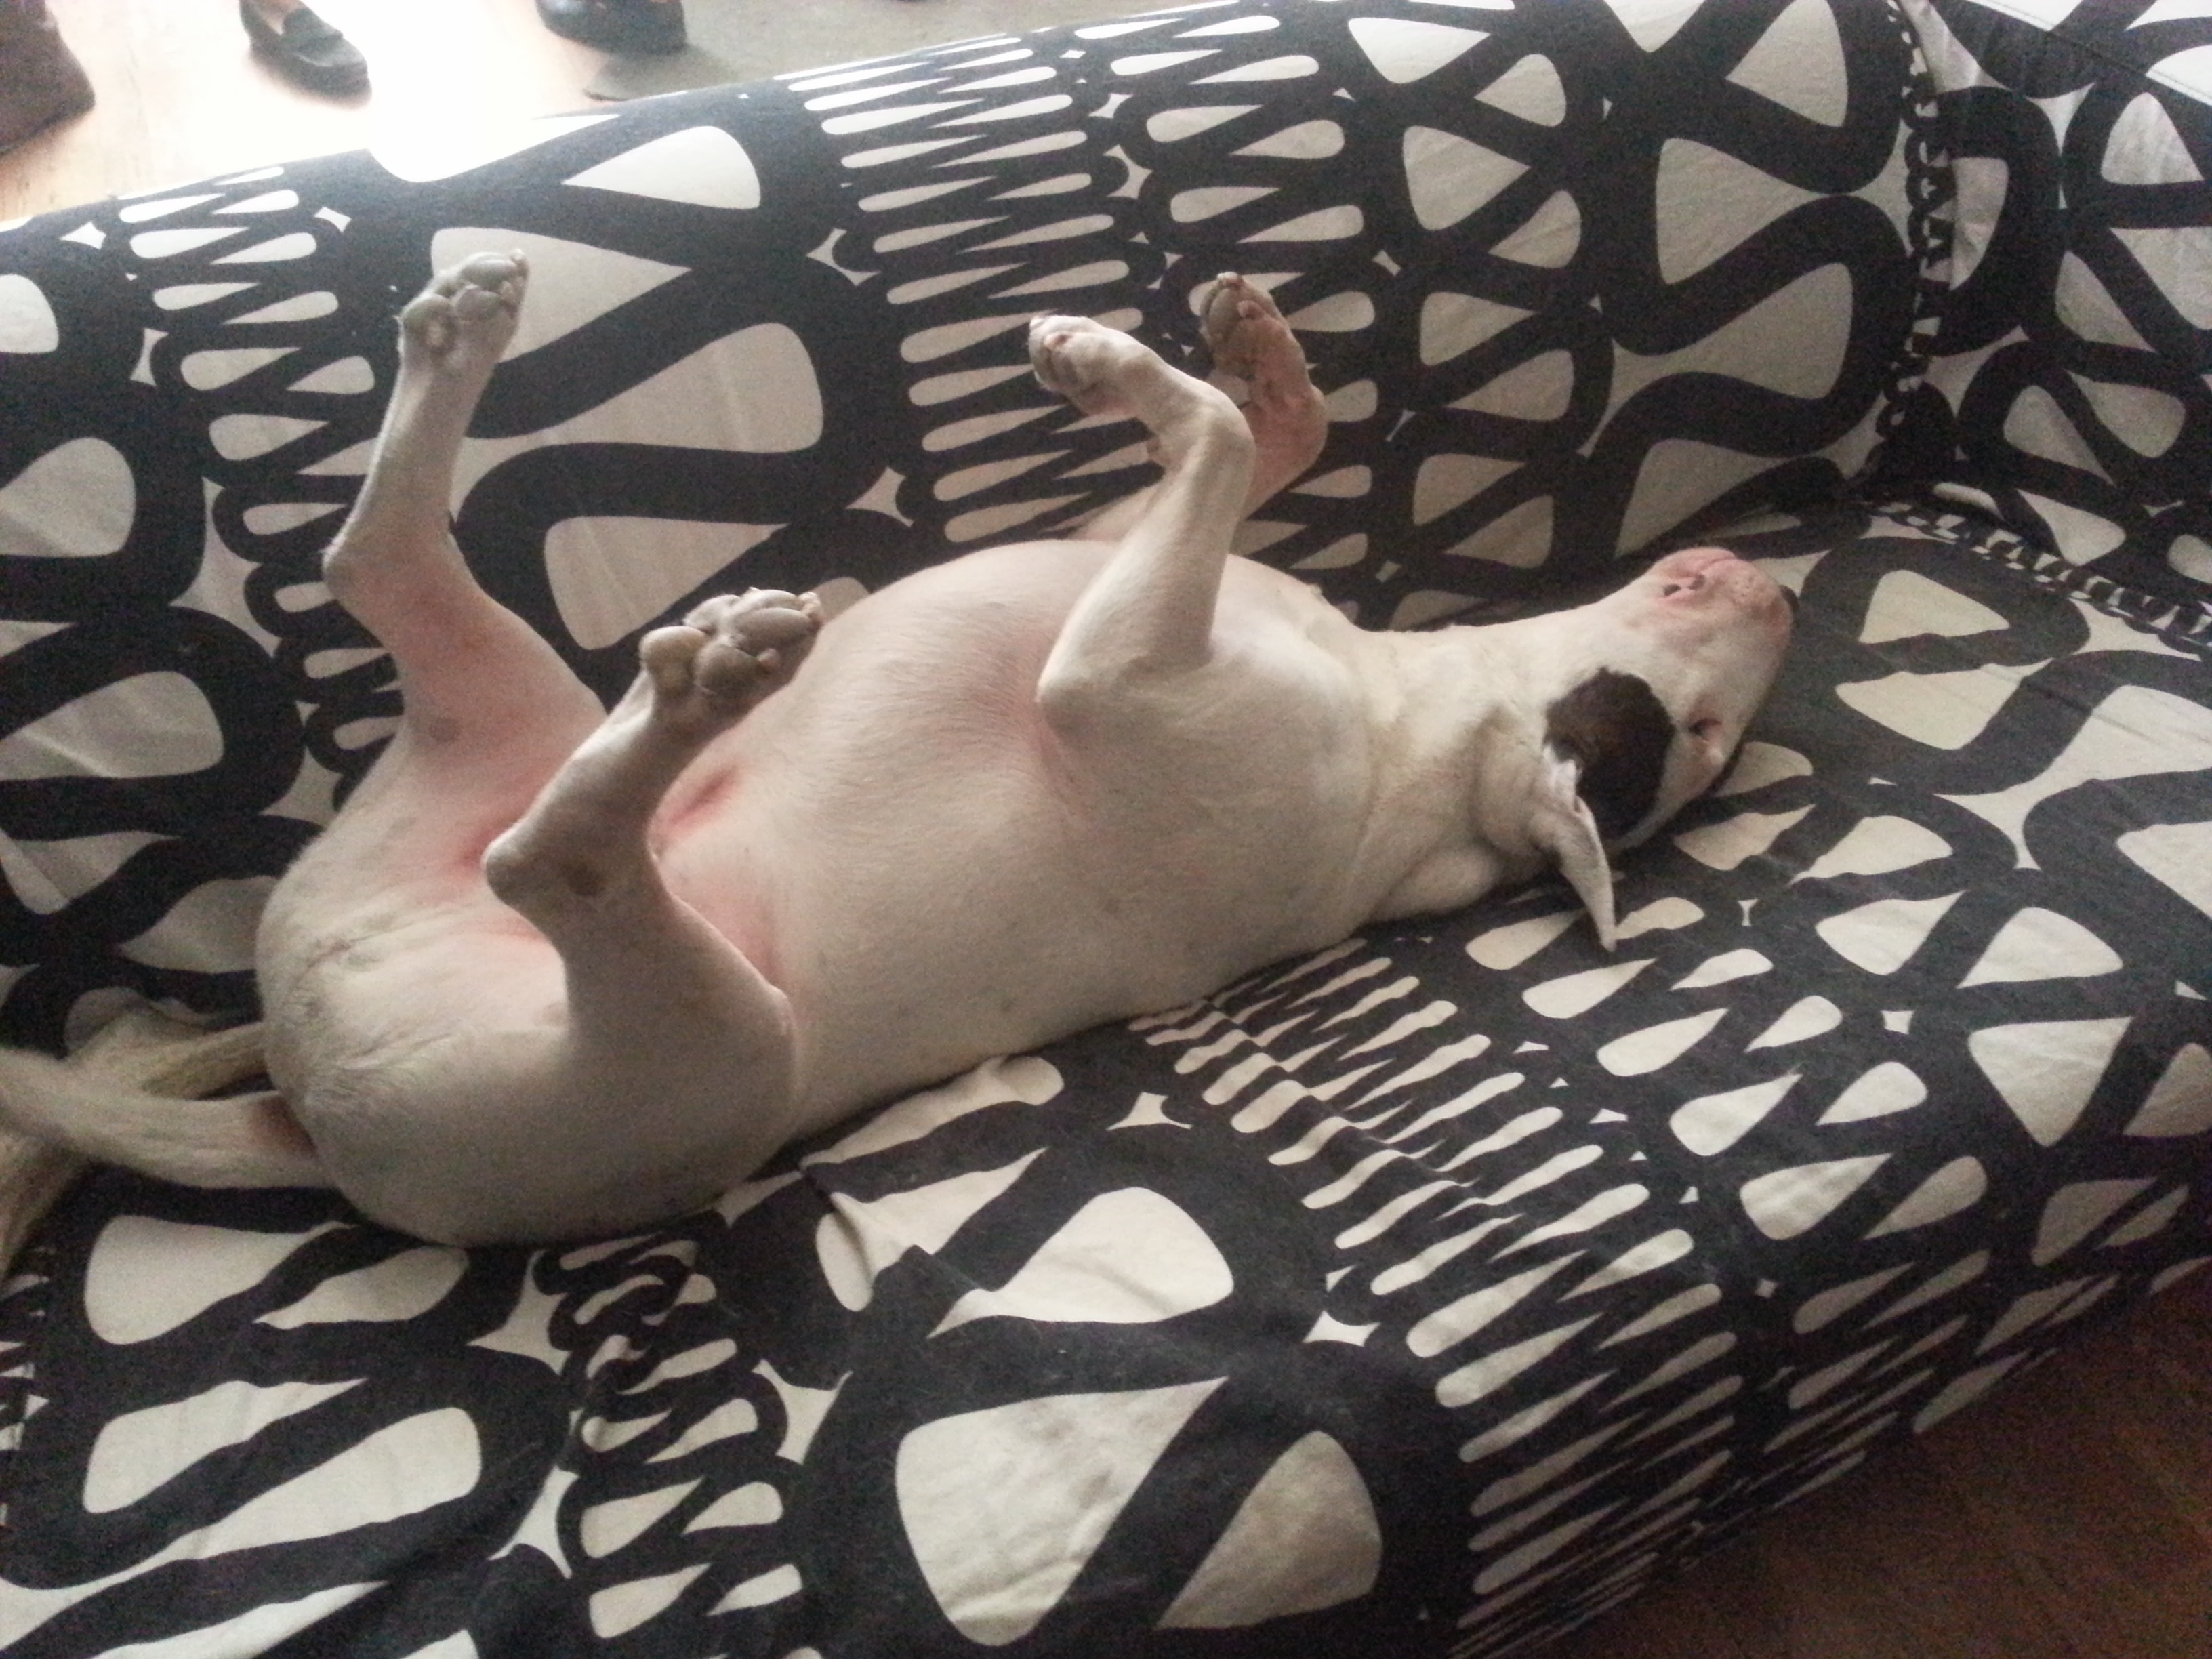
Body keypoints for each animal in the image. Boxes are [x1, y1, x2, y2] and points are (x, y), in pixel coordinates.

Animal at [0, 256, 1796, 1247]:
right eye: (1697, 732)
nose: (1781, 584)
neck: (1405, 729)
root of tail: (306, 1108)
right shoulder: (1130, 559)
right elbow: (1261, 431)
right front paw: (1237, 347)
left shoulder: (1102, 676)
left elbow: (1213, 435)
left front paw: (1127, 365)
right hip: (499, 738)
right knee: (377, 566)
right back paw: (463, 352)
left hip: (706, 1053)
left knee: (558, 857)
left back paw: (718, 675)